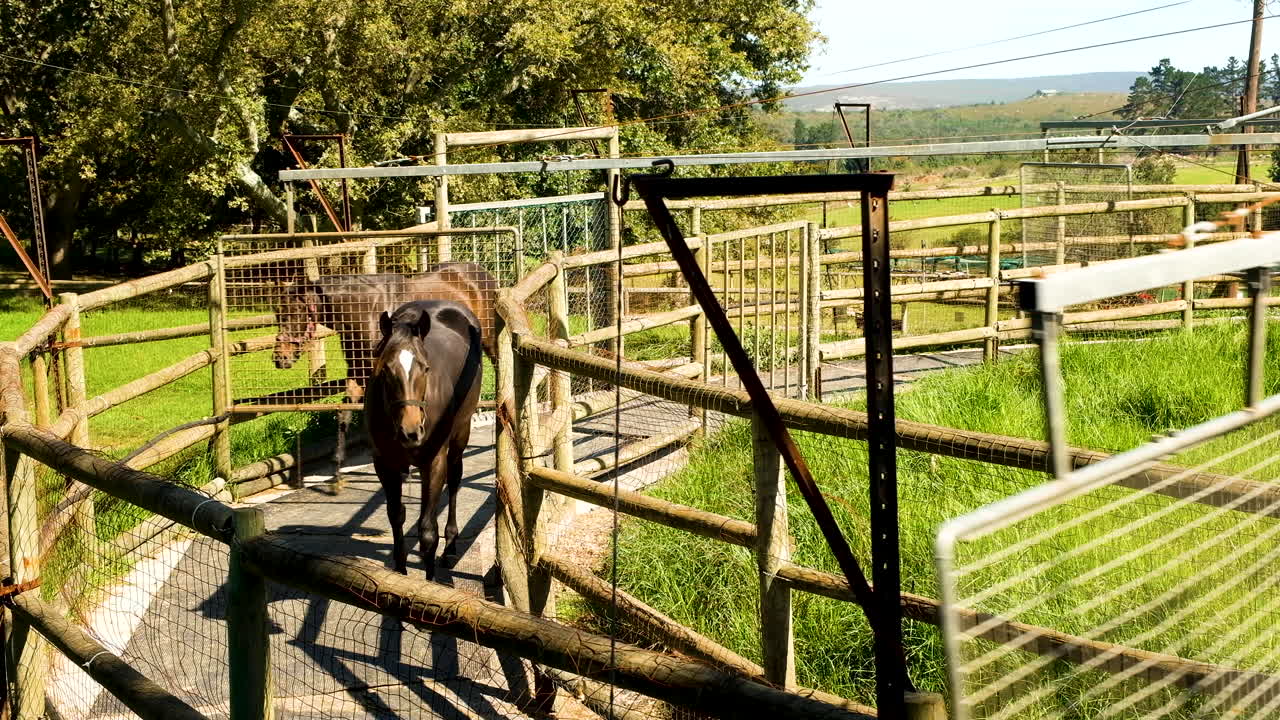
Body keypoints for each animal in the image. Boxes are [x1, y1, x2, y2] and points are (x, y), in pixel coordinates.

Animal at [272, 261, 496, 491]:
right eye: (278, 314)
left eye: (296, 311)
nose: (280, 358)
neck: (366, 310)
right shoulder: (358, 373)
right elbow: (344, 413)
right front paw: (337, 467)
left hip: (490, 342)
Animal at [364, 300, 483, 578]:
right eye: (385, 370)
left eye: (425, 368)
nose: (411, 431)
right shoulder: (384, 464)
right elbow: (396, 515)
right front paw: (400, 571)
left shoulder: (434, 461)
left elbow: (428, 531)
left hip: (460, 435)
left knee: (455, 480)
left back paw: (450, 545)